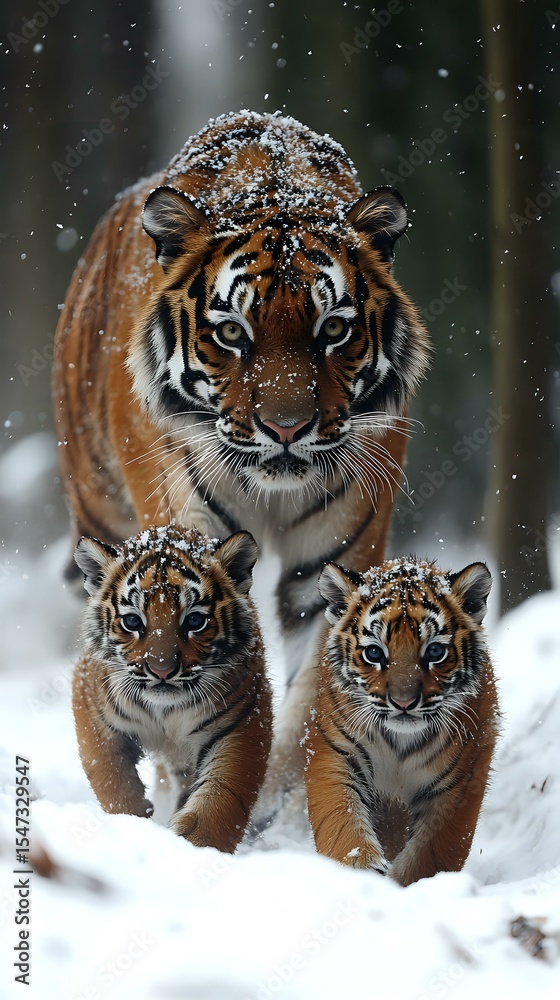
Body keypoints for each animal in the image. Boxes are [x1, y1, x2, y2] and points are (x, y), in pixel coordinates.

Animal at [53, 110, 431, 806]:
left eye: (332, 330)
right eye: (232, 332)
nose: (286, 427)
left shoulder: (339, 556)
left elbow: (308, 697)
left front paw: (276, 798)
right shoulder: (189, 531)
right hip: (96, 507)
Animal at [72, 523, 272, 853]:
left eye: (194, 620)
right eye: (132, 621)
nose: (162, 670)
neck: (166, 713)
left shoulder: (242, 719)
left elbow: (222, 798)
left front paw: (198, 848)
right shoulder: (92, 707)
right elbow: (110, 777)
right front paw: (133, 823)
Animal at [305, 557, 499, 885]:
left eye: (435, 651)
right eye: (374, 653)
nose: (404, 702)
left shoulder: (459, 781)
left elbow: (430, 853)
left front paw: (404, 885)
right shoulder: (337, 754)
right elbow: (341, 824)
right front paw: (361, 871)